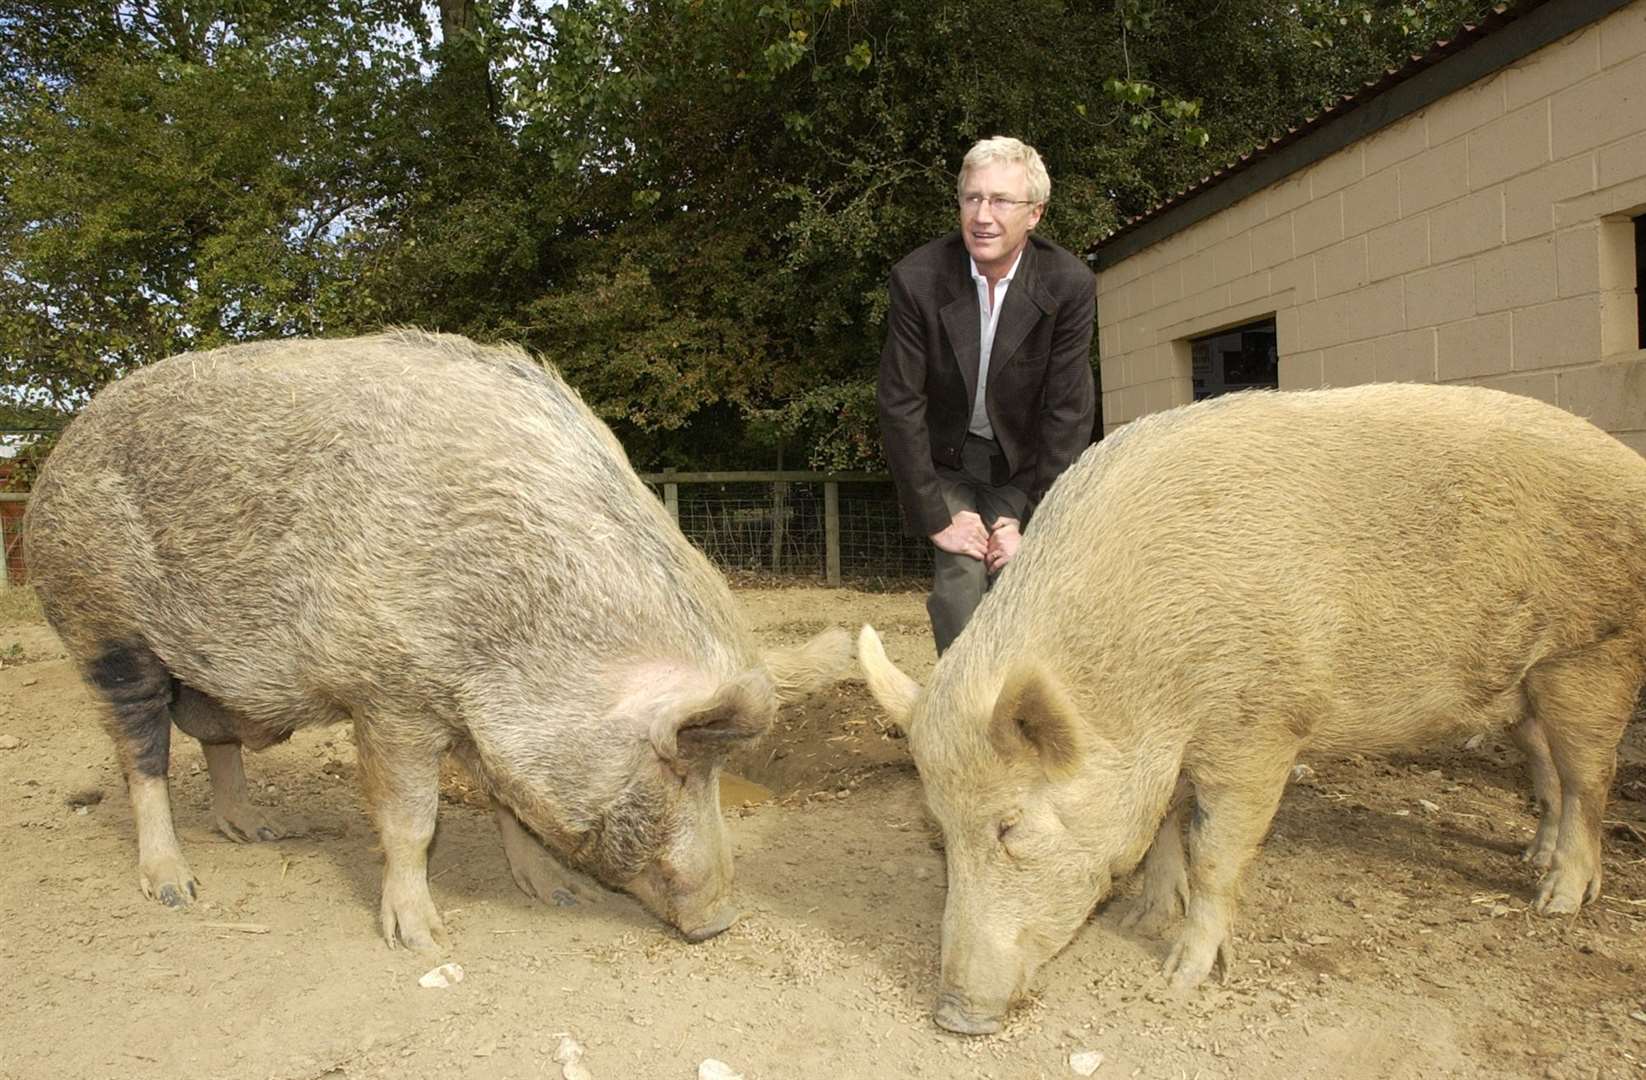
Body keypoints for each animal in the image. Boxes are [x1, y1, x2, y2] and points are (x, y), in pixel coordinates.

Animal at [25, 329, 849, 948]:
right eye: (679, 763)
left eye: (718, 769)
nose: (722, 921)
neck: (526, 627)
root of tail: (60, 450)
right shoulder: (390, 695)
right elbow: (411, 821)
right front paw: (424, 940)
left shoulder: (484, 717)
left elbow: (510, 804)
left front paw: (557, 895)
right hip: (100, 623)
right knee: (141, 754)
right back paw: (176, 888)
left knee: (217, 738)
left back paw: (265, 830)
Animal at [855, 383, 1646, 1033]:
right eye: (938, 830)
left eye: (1011, 826)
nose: (953, 1015)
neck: (1142, 680)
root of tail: (1628, 464)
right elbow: (1163, 833)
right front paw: (1146, 912)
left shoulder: (1259, 727)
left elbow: (1215, 851)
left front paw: (1178, 977)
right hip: (1525, 682)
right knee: (1548, 767)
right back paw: (1534, 858)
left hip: (1596, 650)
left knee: (1591, 777)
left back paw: (1557, 900)